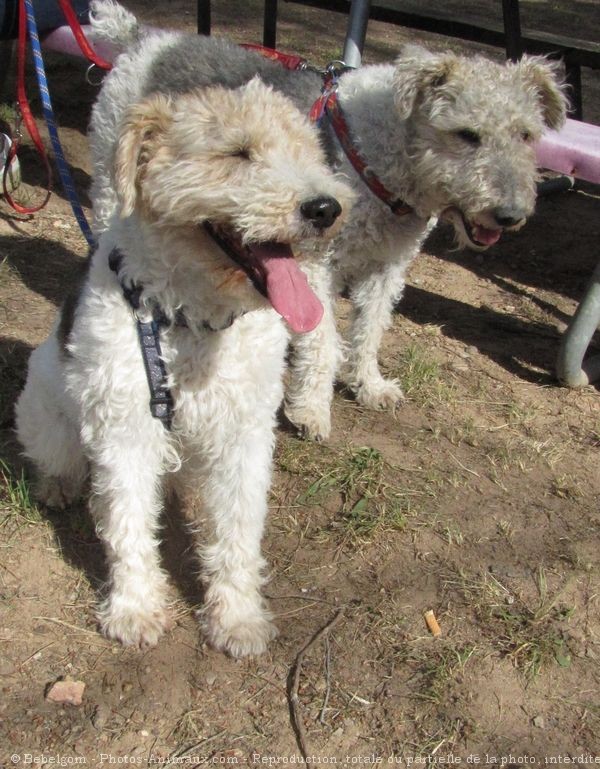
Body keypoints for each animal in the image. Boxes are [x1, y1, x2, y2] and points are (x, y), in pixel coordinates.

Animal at [16, 75, 354, 656]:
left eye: (308, 151)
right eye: (238, 152)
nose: (326, 209)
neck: (190, 320)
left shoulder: (244, 434)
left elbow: (237, 532)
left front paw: (237, 617)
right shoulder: (126, 429)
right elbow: (128, 525)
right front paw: (134, 609)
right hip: (46, 409)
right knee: (61, 459)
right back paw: (60, 485)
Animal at [83, 3, 568, 440]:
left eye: (526, 134)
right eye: (467, 134)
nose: (510, 215)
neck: (378, 154)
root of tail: (143, 37)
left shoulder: (387, 266)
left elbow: (370, 330)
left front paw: (370, 386)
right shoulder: (318, 263)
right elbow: (323, 342)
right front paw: (312, 412)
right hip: (113, 183)